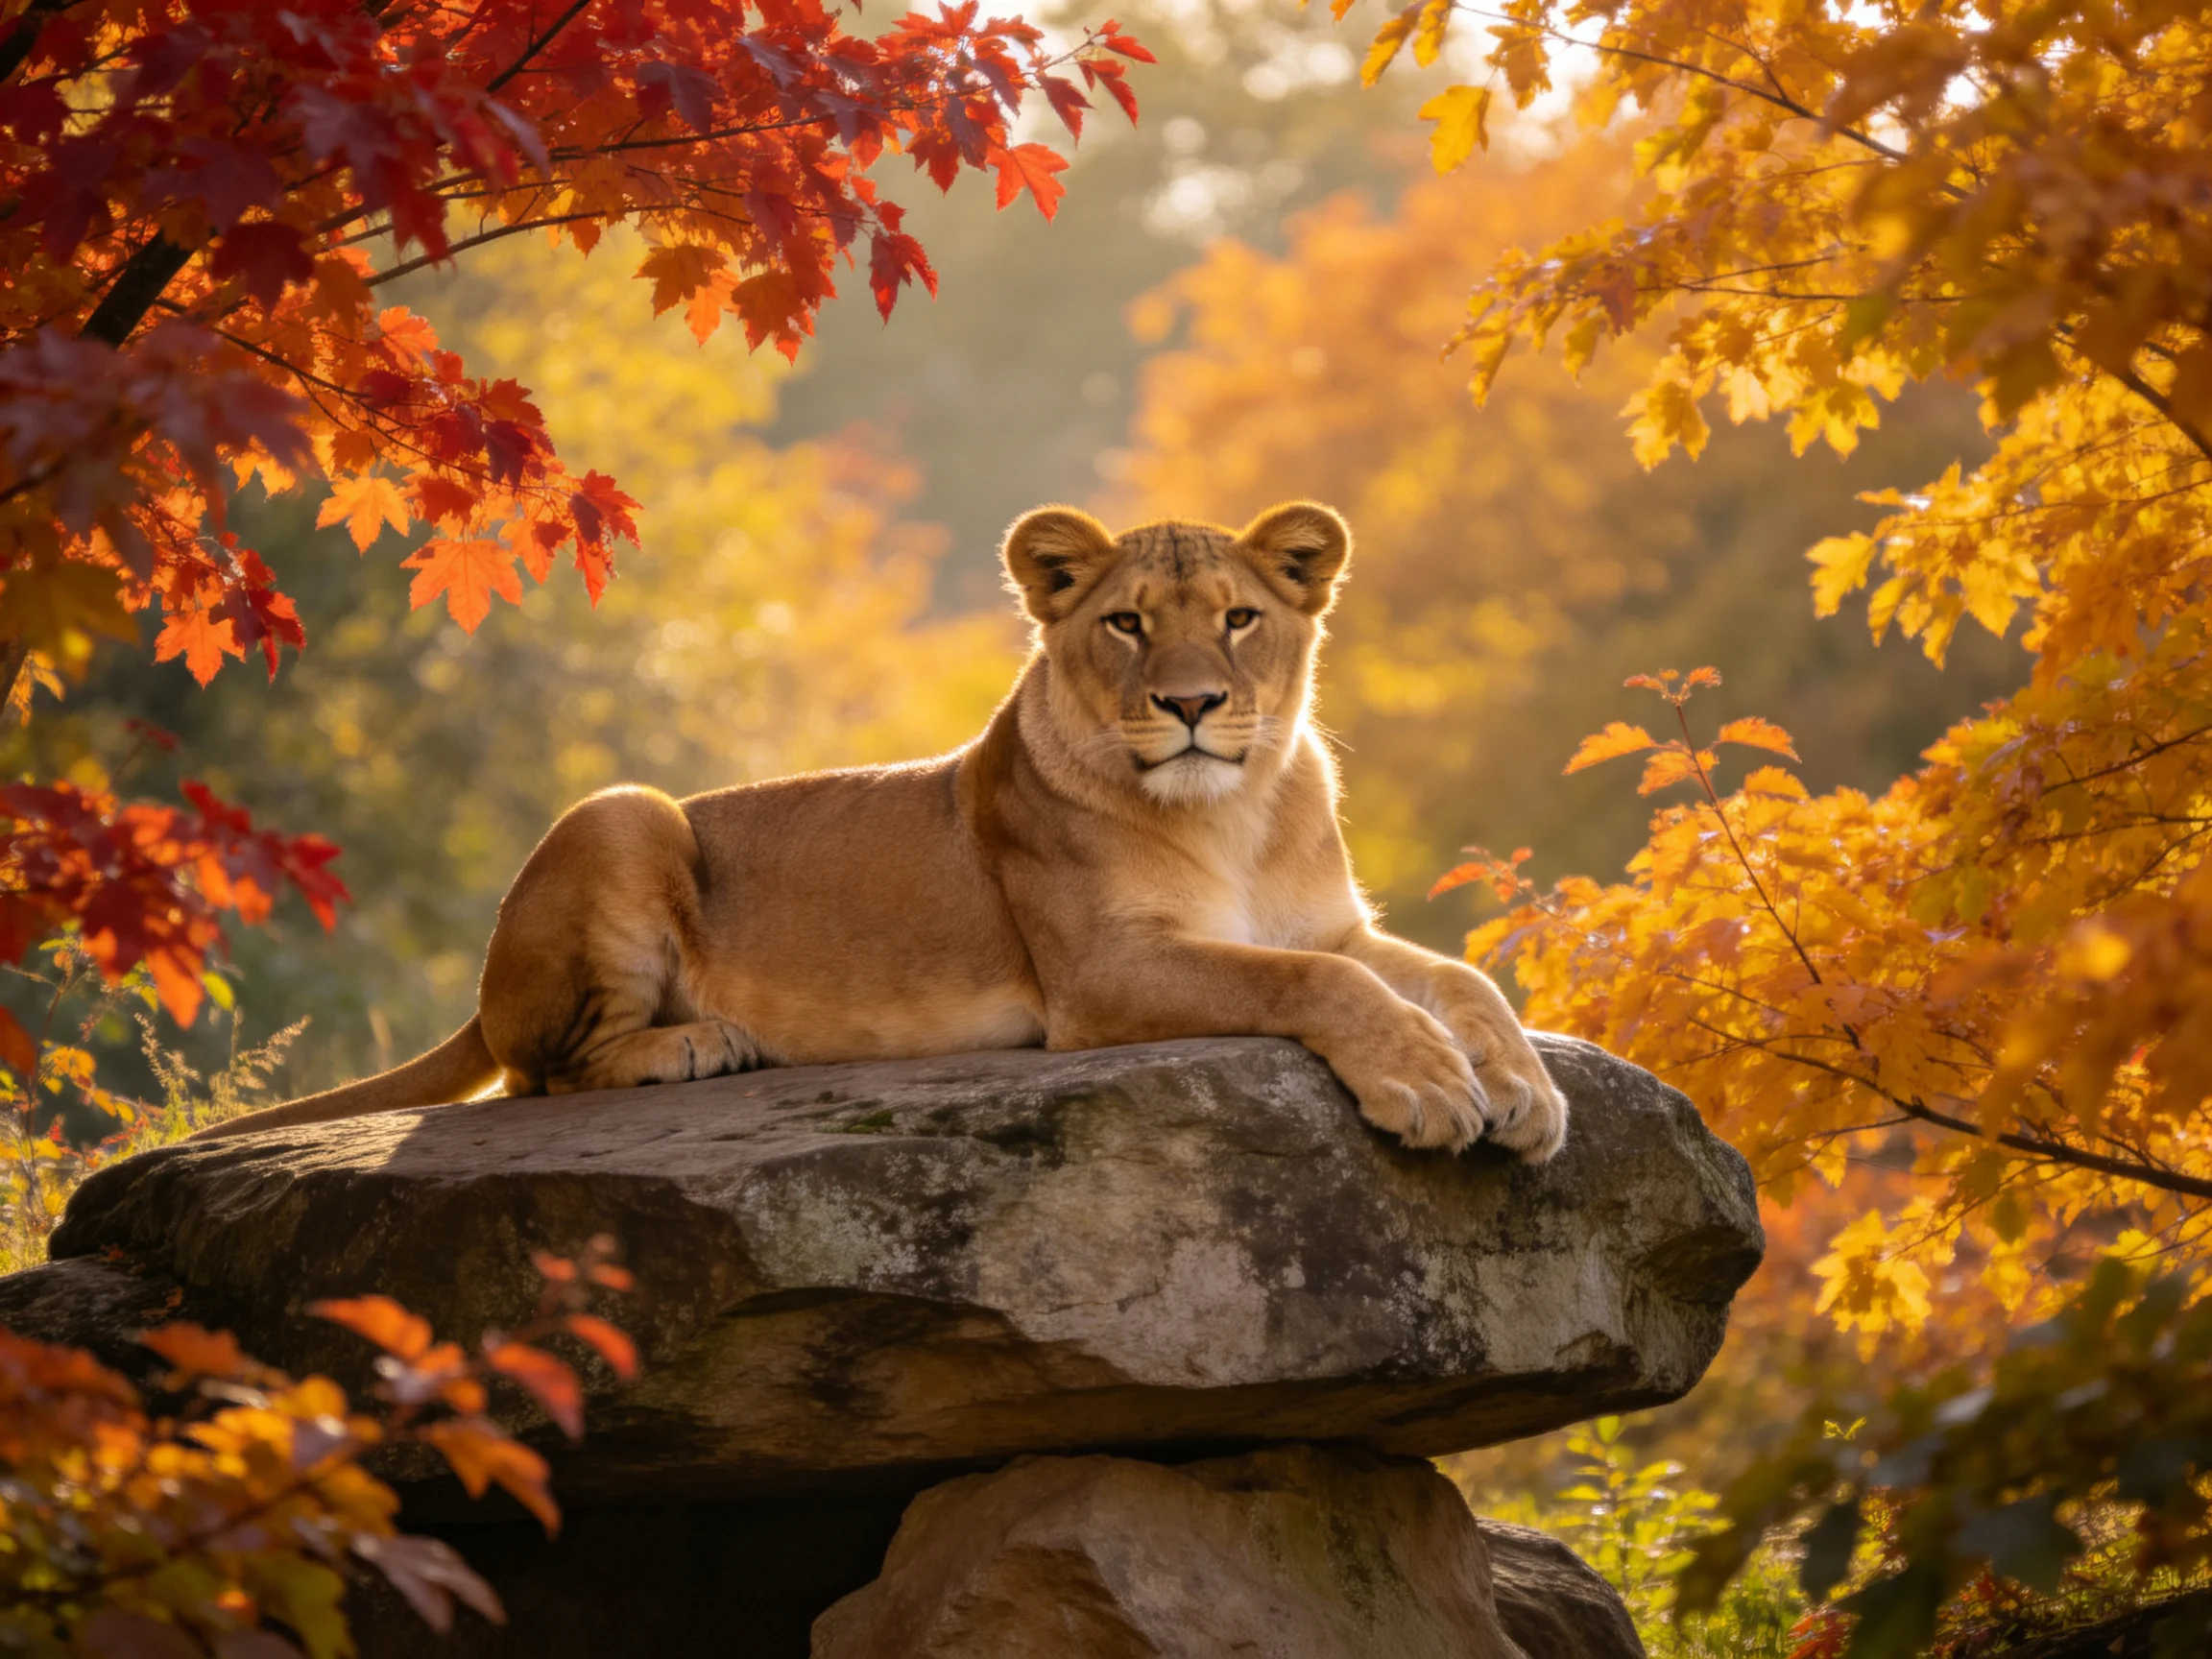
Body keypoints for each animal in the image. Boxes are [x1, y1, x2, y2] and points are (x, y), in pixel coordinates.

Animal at [200, 502, 1568, 1159]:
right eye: (1126, 625)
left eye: (1238, 619)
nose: (1190, 706)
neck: (1231, 808)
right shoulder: (1101, 976)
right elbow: (1312, 987)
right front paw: (1427, 1084)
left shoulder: (1332, 923)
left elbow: (1459, 979)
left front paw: (1523, 1089)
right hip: (621, 810)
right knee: (543, 1070)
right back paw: (698, 1046)